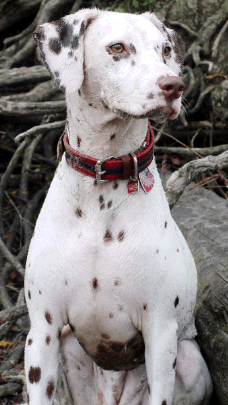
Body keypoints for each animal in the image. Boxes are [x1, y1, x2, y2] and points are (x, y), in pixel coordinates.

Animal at [24, 7, 212, 404]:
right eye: (117, 48)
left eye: (166, 49)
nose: (174, 85)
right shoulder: (43, 329)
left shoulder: (160, 333)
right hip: (67, 346)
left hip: (187, 356)